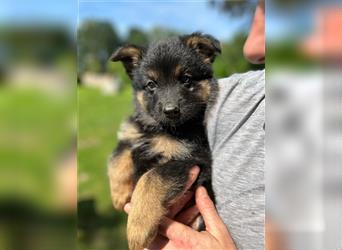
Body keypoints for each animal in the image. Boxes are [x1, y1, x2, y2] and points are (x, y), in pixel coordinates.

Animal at [108, 33, 222, 250]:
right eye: (151, 84)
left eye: (186, 79)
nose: (171, 111)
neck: (161, 128)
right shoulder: (133, 134)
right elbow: (117, 157)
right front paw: (119, 194)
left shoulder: (191, 159)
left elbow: (150, 179)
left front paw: (137, 228)